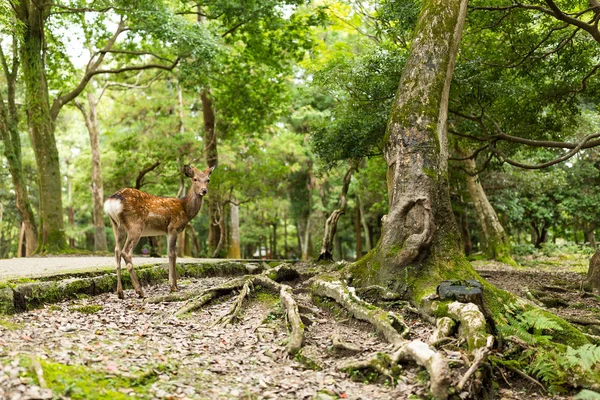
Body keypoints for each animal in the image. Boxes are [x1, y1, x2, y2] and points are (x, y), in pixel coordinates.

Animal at [103, 164, 216, 298]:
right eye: (195, 179)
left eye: (208, 180)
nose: (204, 190)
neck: (185, 210)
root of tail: (111, 201)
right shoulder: (173, 228)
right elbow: (172, 254)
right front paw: (173, 287)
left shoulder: (167, 232)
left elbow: (172, 254)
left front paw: (175, 285)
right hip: (135, 225)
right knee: (125, 252)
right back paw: (140, 291)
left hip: (116, 225)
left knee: (116, 251)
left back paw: (120, 292)